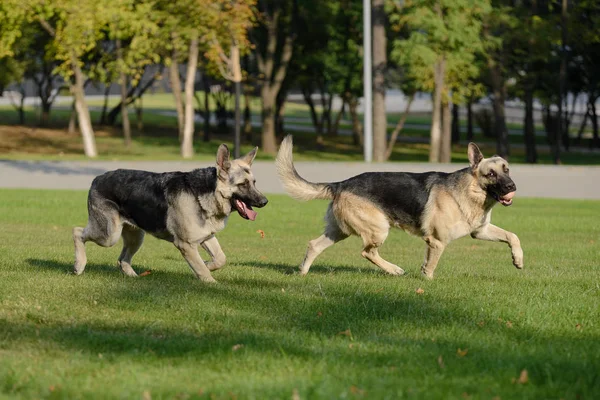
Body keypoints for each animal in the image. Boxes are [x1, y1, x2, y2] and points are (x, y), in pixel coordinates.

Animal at [72, 145, 268, 282]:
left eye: (254, 182)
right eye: (243, 184)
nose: (265, 202)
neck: (206, 192)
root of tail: (97, 178)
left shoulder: (206, 236)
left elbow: (220, 258)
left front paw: (209, 264)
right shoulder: (186, 245)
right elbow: (202, 270)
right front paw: (212, 283)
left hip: (136, 237)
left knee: (122, 260)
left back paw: (134, 277)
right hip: (109, 236)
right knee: (77, 232)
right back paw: (79, 265)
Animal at [274, 136, 524, 280]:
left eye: (507, 169)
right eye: (490, 174)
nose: (512, 186)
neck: (470, 191)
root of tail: (341, 184)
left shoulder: (480, 231)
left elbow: (513, 236)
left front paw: (518, 260)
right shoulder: (436, 242)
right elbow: (430, 267)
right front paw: (426, 283)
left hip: (339, 232)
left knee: (313, 245)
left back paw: (302, 273)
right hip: (378, 229)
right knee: (367, 252)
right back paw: (394, 270)